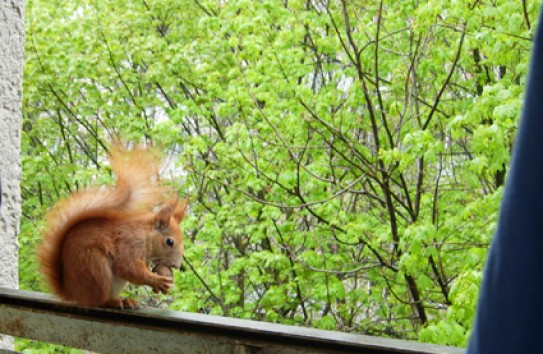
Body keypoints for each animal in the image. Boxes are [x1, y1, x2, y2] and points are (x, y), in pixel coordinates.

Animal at [37, 142, 188, 308]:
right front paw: (157, 281)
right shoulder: (130, 244)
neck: (145, 234)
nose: (176, 266)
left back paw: (125, 300)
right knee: (99, 301)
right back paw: (113, 301)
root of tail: (74, 294)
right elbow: (129, 268)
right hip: (95, 267)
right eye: (170, 242)